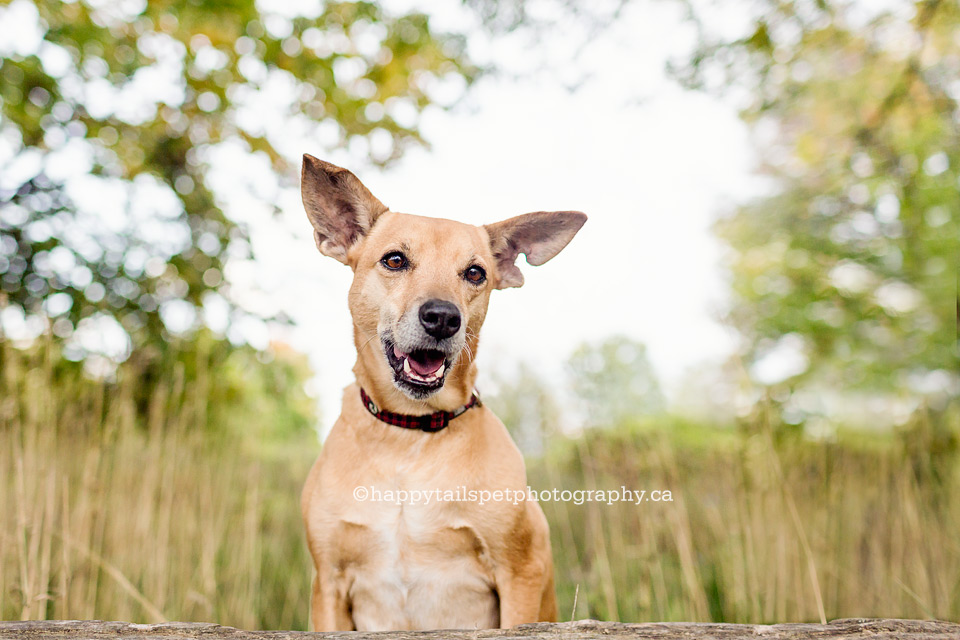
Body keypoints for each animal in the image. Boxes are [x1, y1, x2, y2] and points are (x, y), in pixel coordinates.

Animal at [298, 155, 584, 632]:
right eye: (395, 260)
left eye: (475, 273)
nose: (442, 317)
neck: (410, 434)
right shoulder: (328, 585)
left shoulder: (520, 574)